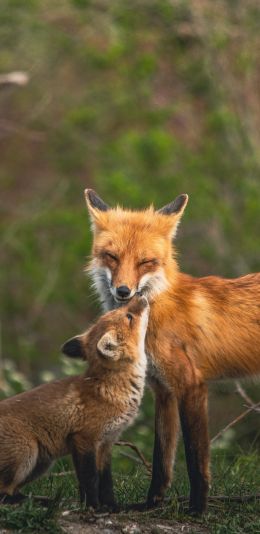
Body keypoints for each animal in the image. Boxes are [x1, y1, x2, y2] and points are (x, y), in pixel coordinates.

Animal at [0, 298, 148, 510]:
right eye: (129, 316)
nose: (140, 297)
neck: (109, 390)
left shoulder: (106, 443)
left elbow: (106, 482)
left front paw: (111, 507)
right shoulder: (83, 439)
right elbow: (89, 480)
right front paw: (93, 506)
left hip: (40, 463)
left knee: (12, 490)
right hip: (27, 452)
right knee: (4, 493)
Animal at [84, 191, 260, 516]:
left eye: (145, 262)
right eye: (112, 257)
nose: (123, 291)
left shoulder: (191, 385)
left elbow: (195, 458)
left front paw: (198, 509)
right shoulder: (163, 390)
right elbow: (162, 458)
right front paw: (150, 504)